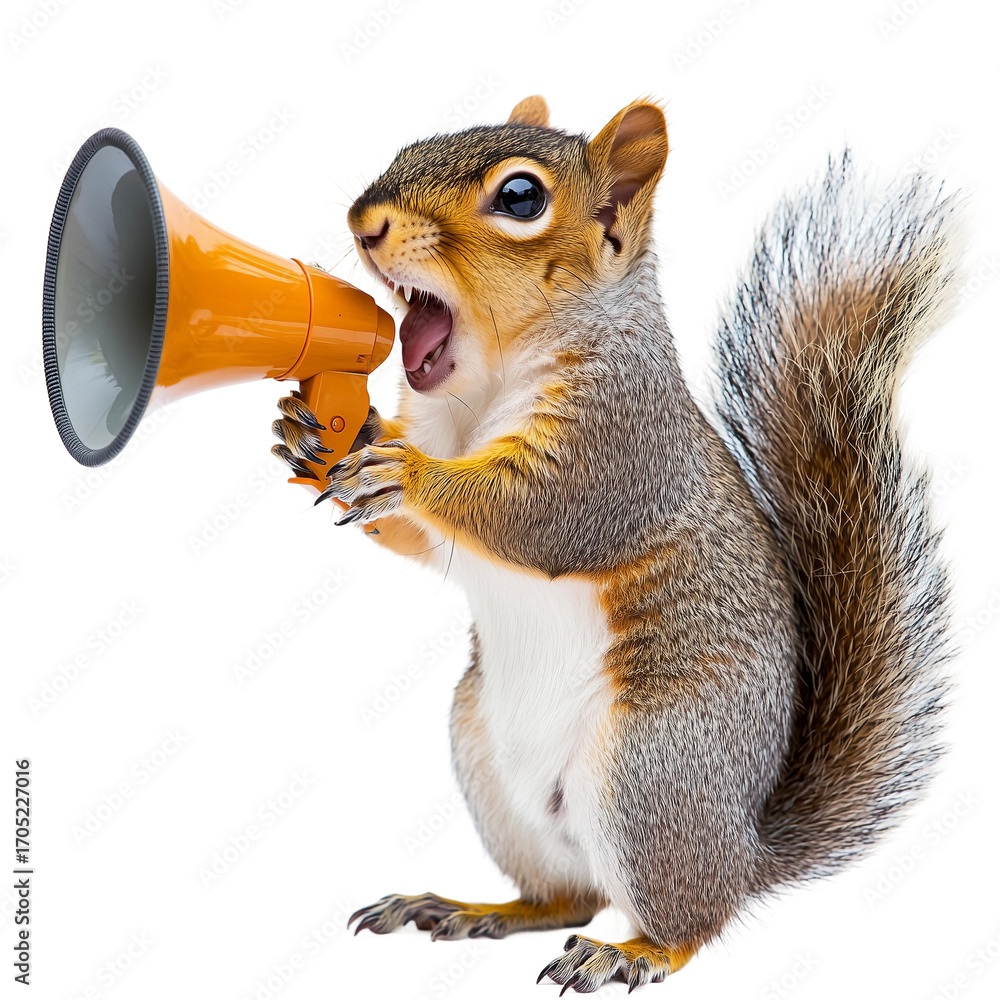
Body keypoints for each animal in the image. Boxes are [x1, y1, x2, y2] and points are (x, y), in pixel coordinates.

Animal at [271, 95, 960, 991]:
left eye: (521, 198)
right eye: (413, 142)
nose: (365, 221)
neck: (487, 380)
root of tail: (742, 850)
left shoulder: (620, 443)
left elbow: (538, 516)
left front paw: (408, 471)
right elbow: (431, 545)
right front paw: (318, 436)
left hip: (649, 773)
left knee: (688, 923)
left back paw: (631, 953)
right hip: (486, 760)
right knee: (565, 897)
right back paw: (470, 910)